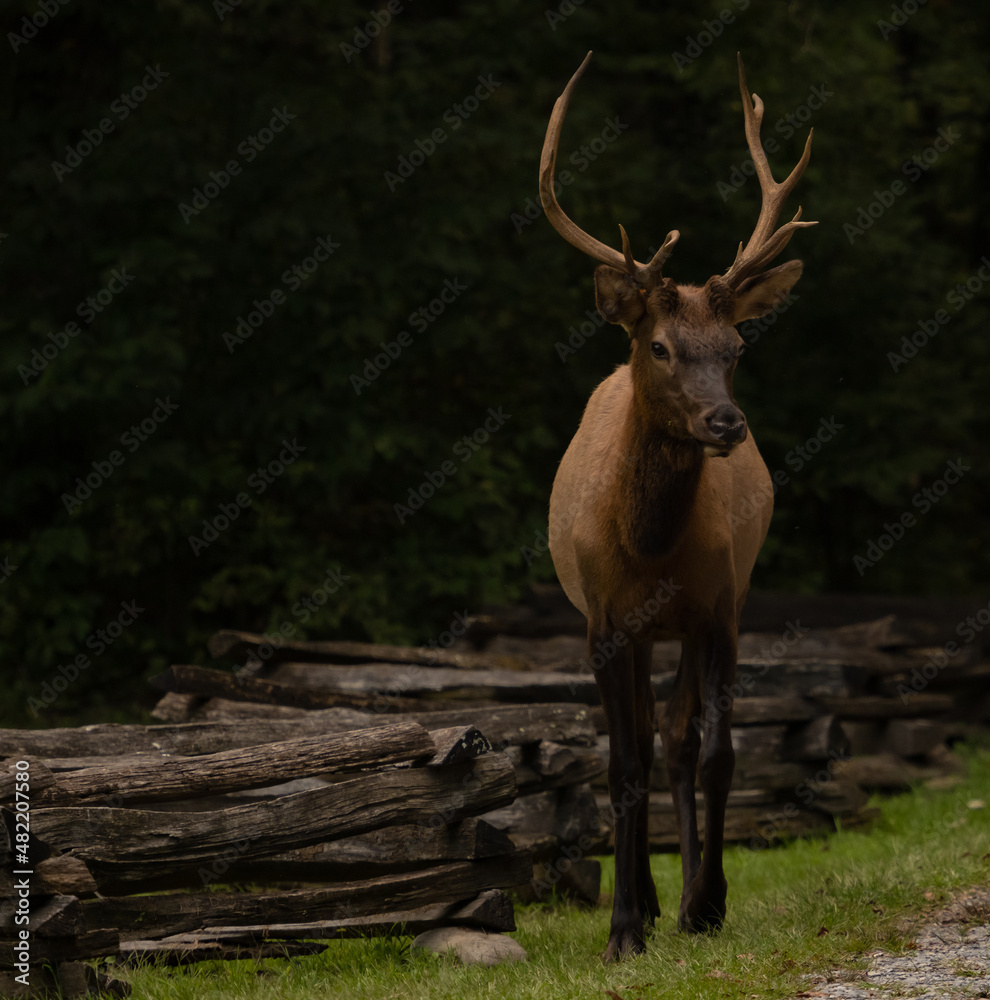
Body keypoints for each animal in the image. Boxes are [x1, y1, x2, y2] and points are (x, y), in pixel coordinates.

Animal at [540, 52, 815, 961]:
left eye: (734, 347)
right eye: (659, 346)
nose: (726, 423)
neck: (648, 546)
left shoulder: (719, 606)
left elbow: (716, 750)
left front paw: (708, 904)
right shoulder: (603, 619)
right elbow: (617, 765)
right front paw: (624, 925)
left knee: (677, 736)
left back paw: (684, 898)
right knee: (641, 740)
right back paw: (650, 904)